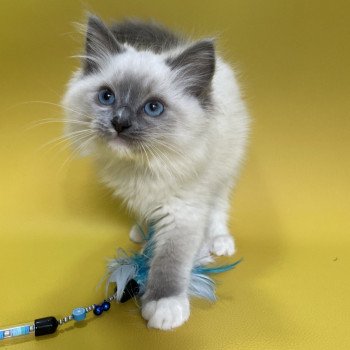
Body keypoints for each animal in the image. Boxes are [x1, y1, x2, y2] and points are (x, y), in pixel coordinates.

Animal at [62, 15, 249, 330]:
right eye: (106, 96)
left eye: (153, 108)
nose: (120, 122)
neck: (142, 167)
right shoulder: (137, 194)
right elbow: (146, 216)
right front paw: (145, 234)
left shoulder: (183, 211)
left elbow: (170, 261)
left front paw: (165, 307)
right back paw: (141, 230)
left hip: (224, 170)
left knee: (218, 206)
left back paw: (220, 241)